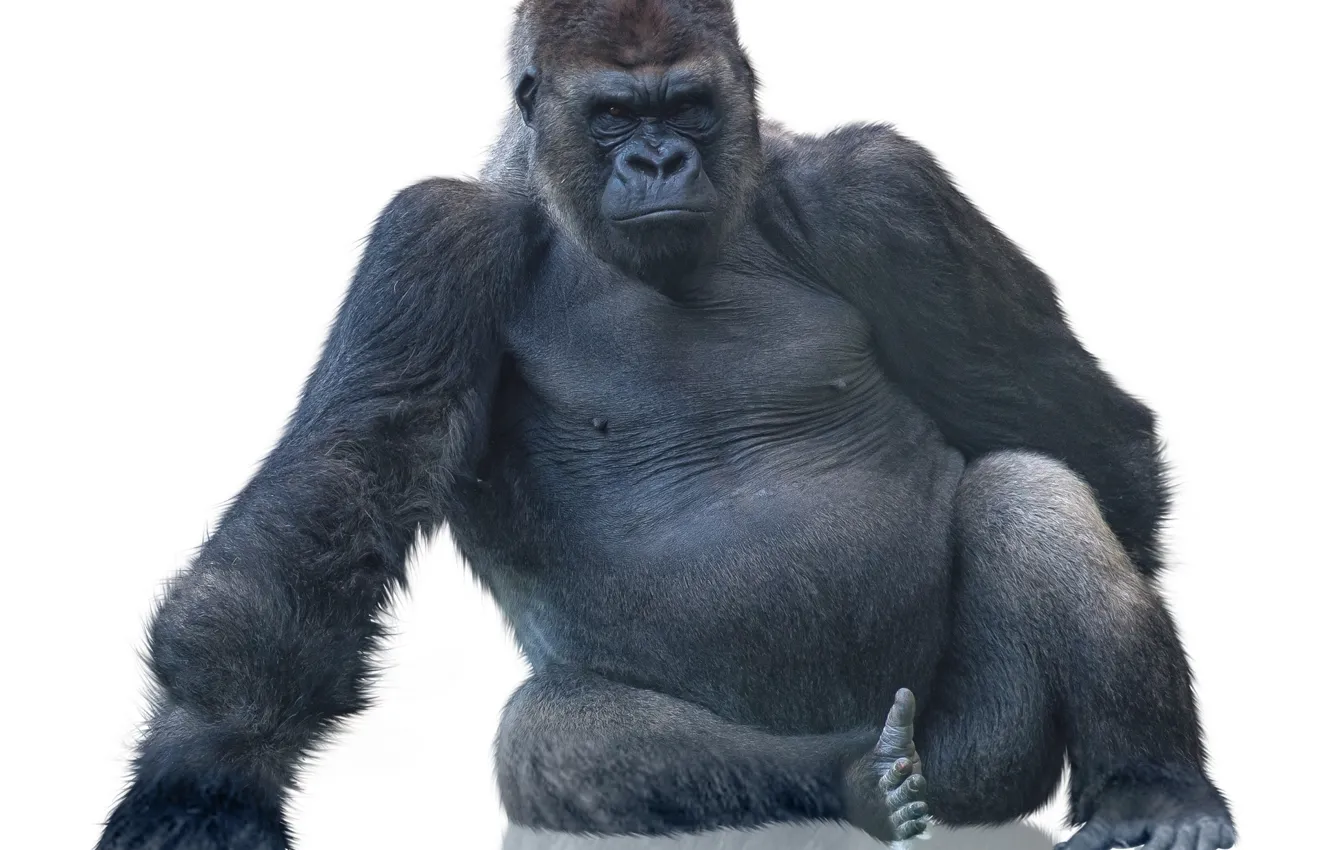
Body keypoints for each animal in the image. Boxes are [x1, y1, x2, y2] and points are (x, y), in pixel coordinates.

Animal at [96, 2, 1234, 849]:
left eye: (686, 102)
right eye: (612, 114)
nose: (657, 162)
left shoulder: (884, 192)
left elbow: (1088, 430)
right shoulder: (431, 243)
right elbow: (334, 497)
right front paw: (202, 774)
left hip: (987, 754)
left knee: (1034, 491)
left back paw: (1152, 787)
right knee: (555, 737)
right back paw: (855, 783)